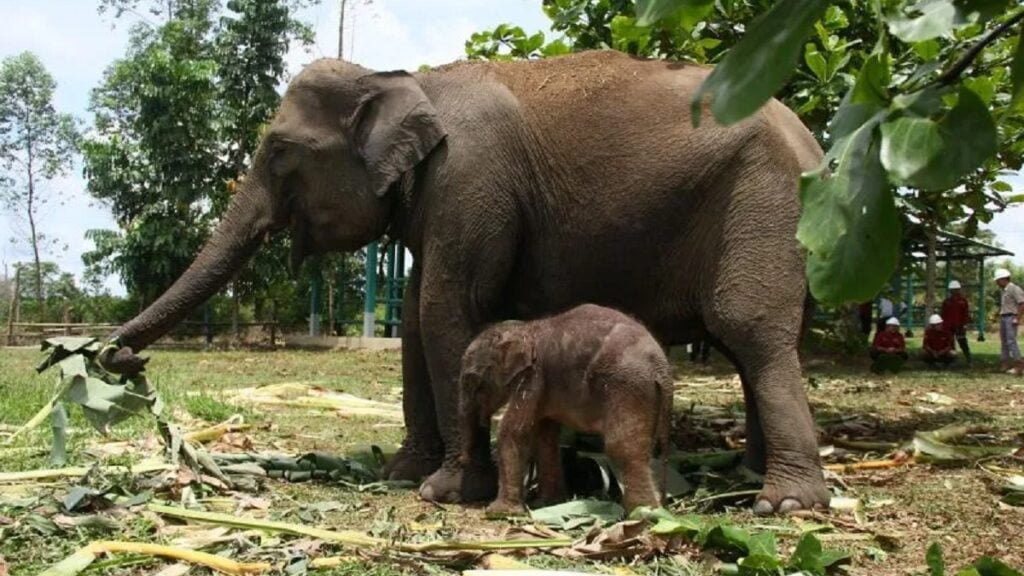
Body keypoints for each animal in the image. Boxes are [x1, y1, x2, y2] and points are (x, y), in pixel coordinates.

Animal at [456, 303, 671, 512]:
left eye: (471, 380)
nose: (462, 461)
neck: (525, 328)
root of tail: (661, 368)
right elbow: (545, 436)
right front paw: (547, 503)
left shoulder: (533, 376)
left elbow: (512, 431)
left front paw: (498, 512)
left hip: (626, 385)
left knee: (621, 446)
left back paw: (642, 513)